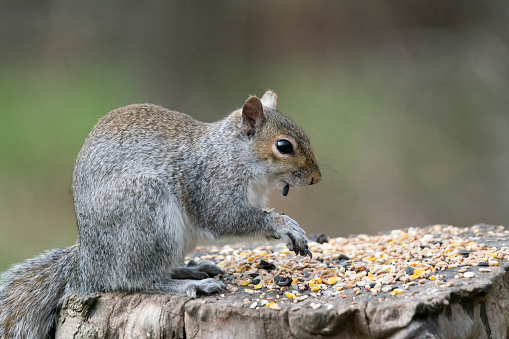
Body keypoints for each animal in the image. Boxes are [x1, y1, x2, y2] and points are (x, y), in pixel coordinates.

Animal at [0, 91, 322, 338]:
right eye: (283, 146)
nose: (316, 178)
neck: (234, 154)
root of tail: (89, 264)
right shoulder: (212, 184)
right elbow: (225, 217)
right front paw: (284, 225)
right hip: (145, 213)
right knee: (139, 279)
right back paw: (190, 284)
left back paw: (192, 269)